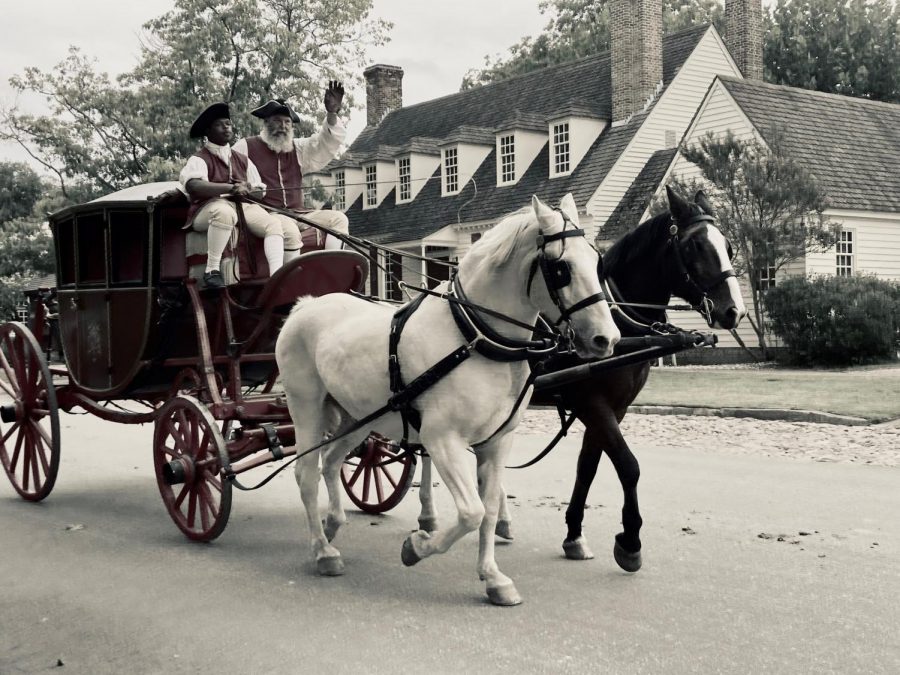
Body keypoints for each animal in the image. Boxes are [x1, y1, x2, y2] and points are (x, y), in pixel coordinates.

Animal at [278, 193, 624, 604]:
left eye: (597, 261)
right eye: (561, 268)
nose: (606, 338)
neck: (474, 338)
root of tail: (305, 305)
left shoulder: (497, 441)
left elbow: (488, 510)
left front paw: (492, 576)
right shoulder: (442, 439)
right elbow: (471, 512)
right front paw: (416, 546)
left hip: (358, 417)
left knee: (331, 463)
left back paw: (332, 525)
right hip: (307, 409)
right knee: (306, 473)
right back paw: (322, 550)